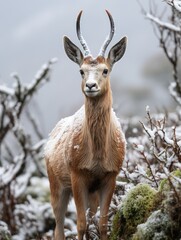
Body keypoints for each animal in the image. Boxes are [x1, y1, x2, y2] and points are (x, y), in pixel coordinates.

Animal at [45, 9, 127, 240]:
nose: (91, 86)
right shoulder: (77, 174)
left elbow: (101, 224)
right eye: (81, 70)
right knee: (59, 227)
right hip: (57, 185)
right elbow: (80, 225)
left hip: (91, 192)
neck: (97, 155)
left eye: (105, 70)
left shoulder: (109, 176)